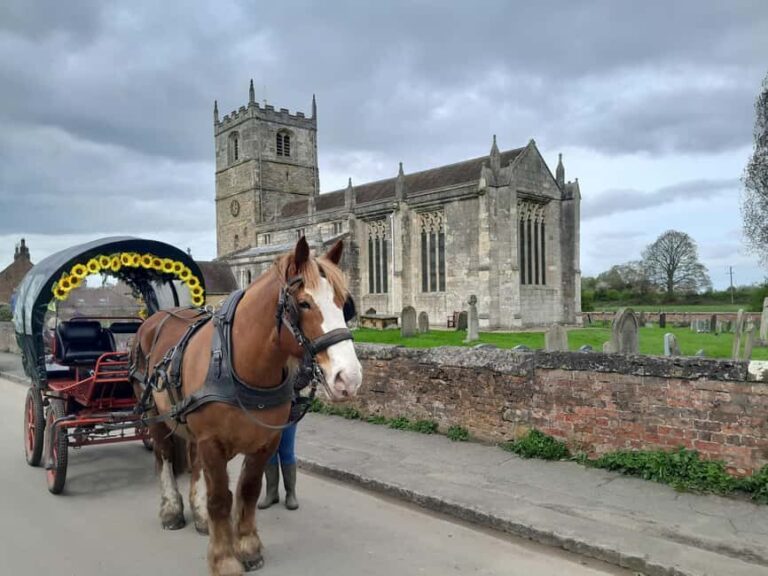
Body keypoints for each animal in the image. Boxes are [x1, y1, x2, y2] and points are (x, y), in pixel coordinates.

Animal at [130, 237, 363, 576]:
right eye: (304, 303)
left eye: (344, 303)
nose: (350, 378)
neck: (239, 361)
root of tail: (155, 317)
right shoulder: (212, 441)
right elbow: (220, 499)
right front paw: (224, 559)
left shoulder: (264, 442)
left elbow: (248, 491)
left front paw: (248, 547)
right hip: (154, 414)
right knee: (164, 456)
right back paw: (172, 509)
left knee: (193, 461)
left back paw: (199, 516)